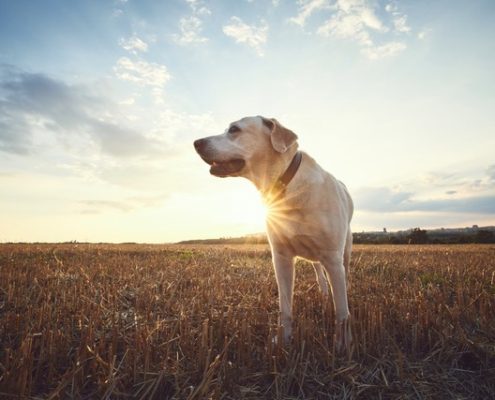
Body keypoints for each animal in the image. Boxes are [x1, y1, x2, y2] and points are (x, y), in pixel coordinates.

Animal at [194, 115, 352, 354]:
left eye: (234, 129)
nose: (196, 142)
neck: (287, 185)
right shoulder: (281, 257)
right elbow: (285, 308)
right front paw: (283, 340)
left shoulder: (333, 258)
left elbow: (341, 310)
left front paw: (342, 344)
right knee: (319, 273)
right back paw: (324, 293)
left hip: (345, 249)